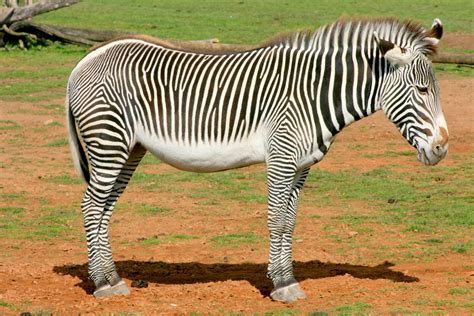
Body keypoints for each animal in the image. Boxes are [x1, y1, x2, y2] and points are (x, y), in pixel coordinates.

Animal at [65, 17, 448, 304]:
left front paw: (287, 279)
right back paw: (101, 284)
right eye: (422, 90)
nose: (442, 148)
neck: (313, 94)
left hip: (129, 148)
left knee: (103, 208)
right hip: (108, 141)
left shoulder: (301, 166)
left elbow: (290, 223)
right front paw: (281, 286)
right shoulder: (281, 157)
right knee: (90, 206)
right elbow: (276, 221)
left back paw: (113, 278)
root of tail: (87, 59)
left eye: (436, 89)